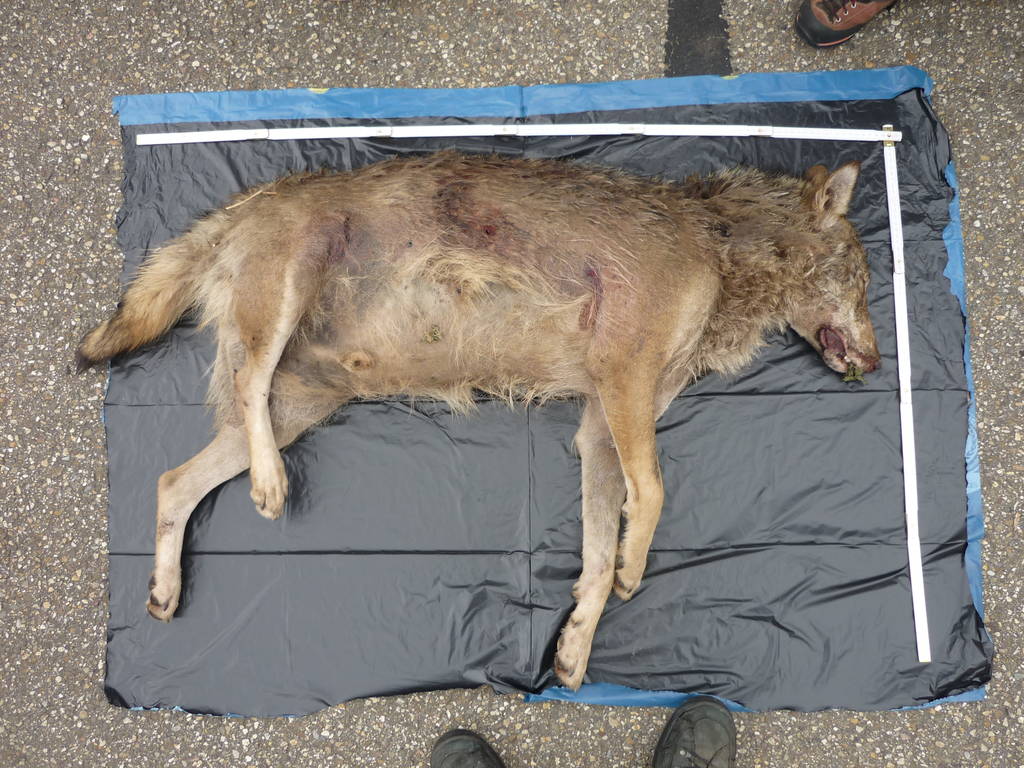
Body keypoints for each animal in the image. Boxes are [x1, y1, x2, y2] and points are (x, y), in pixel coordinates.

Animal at [77, 150, 880, 690]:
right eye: (866, 281)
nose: (876, 361)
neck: (721, 246)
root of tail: (243, 200)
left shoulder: (598, 428)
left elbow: (594, 555)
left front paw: (576, 643)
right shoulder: (623, 381)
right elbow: (652, 496)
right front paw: (633, 570)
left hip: (301, 406)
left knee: (171, 480)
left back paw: (164, 590)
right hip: (284, 316)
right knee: (245, 385)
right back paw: (271, 487)